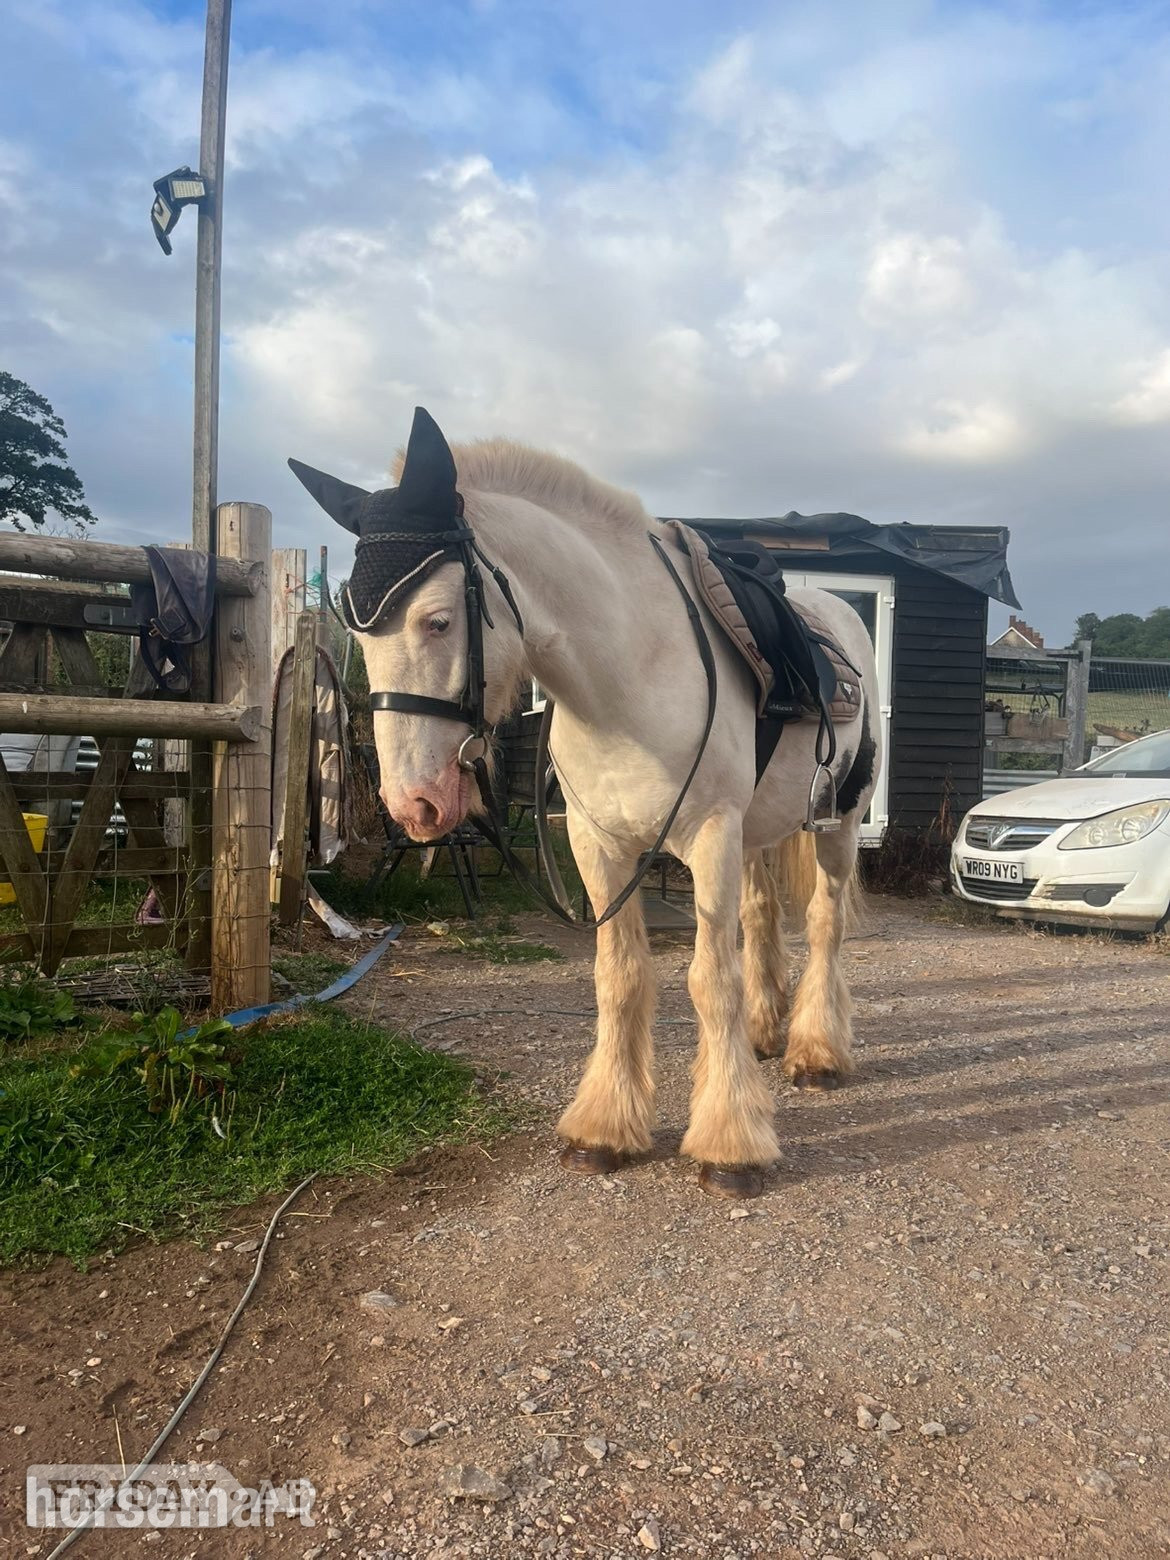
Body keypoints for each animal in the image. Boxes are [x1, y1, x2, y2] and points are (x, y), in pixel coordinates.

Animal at [290, 407, 881, 1198]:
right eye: (356, 631)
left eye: (438, 621)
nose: (414, 804)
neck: (632, 670)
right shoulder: (600, 845)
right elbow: (620, 978)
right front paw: (607, 1128)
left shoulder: (709, 837)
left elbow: (708, 979)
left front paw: (730, 1142)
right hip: (757, 832)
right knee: (761, 918)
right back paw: (765, 1032)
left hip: (836, 823)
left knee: (822, 923)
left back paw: (816, 1051)